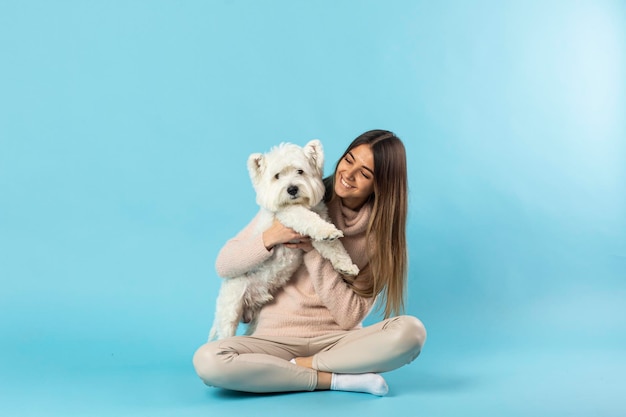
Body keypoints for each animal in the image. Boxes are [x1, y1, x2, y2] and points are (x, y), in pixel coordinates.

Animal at [208, 138, 358, 340]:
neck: (300, 203)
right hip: (230, 310)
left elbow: (334, 247)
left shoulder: (316, 229)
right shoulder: (289, 215)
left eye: (300, 171)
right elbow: (307, 218)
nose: (292, 189)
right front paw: (327, 230)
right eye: (277, 176)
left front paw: (346, 265)